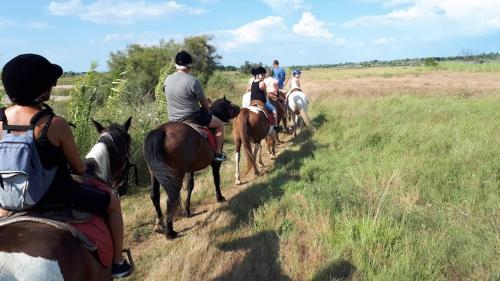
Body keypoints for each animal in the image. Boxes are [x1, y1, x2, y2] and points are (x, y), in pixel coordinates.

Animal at [144, 97, 239, 238]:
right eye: (228, 104)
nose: (239, 108)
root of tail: (160, 131)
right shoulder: (215, 163)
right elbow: (216, 179)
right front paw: (220, 197)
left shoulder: (190, 168)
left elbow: (190, 185)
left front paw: (187, 211)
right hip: (176, 174)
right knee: (170, 198)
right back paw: (170, 232)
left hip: (155, 173)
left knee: (154, 195)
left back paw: (160, 224)